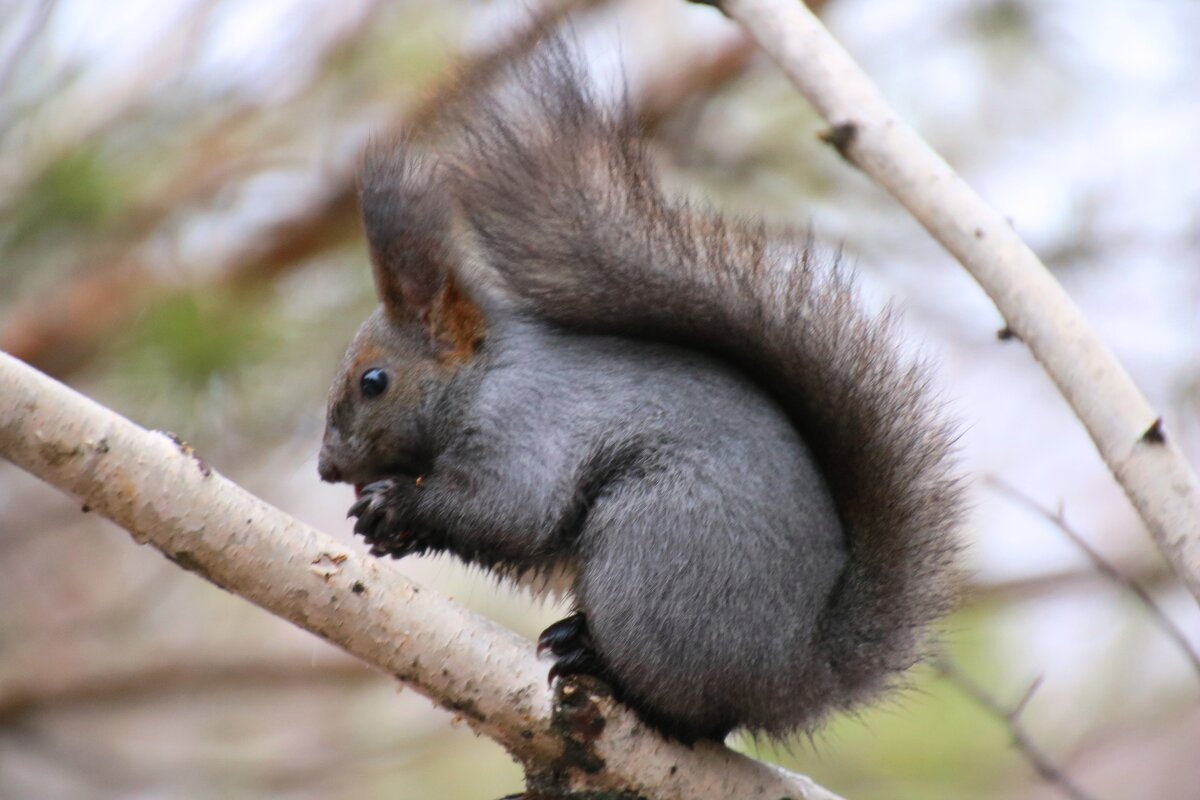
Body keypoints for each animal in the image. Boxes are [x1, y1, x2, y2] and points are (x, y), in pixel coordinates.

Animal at [316, 40, 964, 743]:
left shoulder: (523, 424)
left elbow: (509, 510)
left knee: (687, 711)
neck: (482, 374)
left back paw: (595, 661)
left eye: (373, 382)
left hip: (652, 553)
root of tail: (793, 674)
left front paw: (397, 505)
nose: (326, 467)